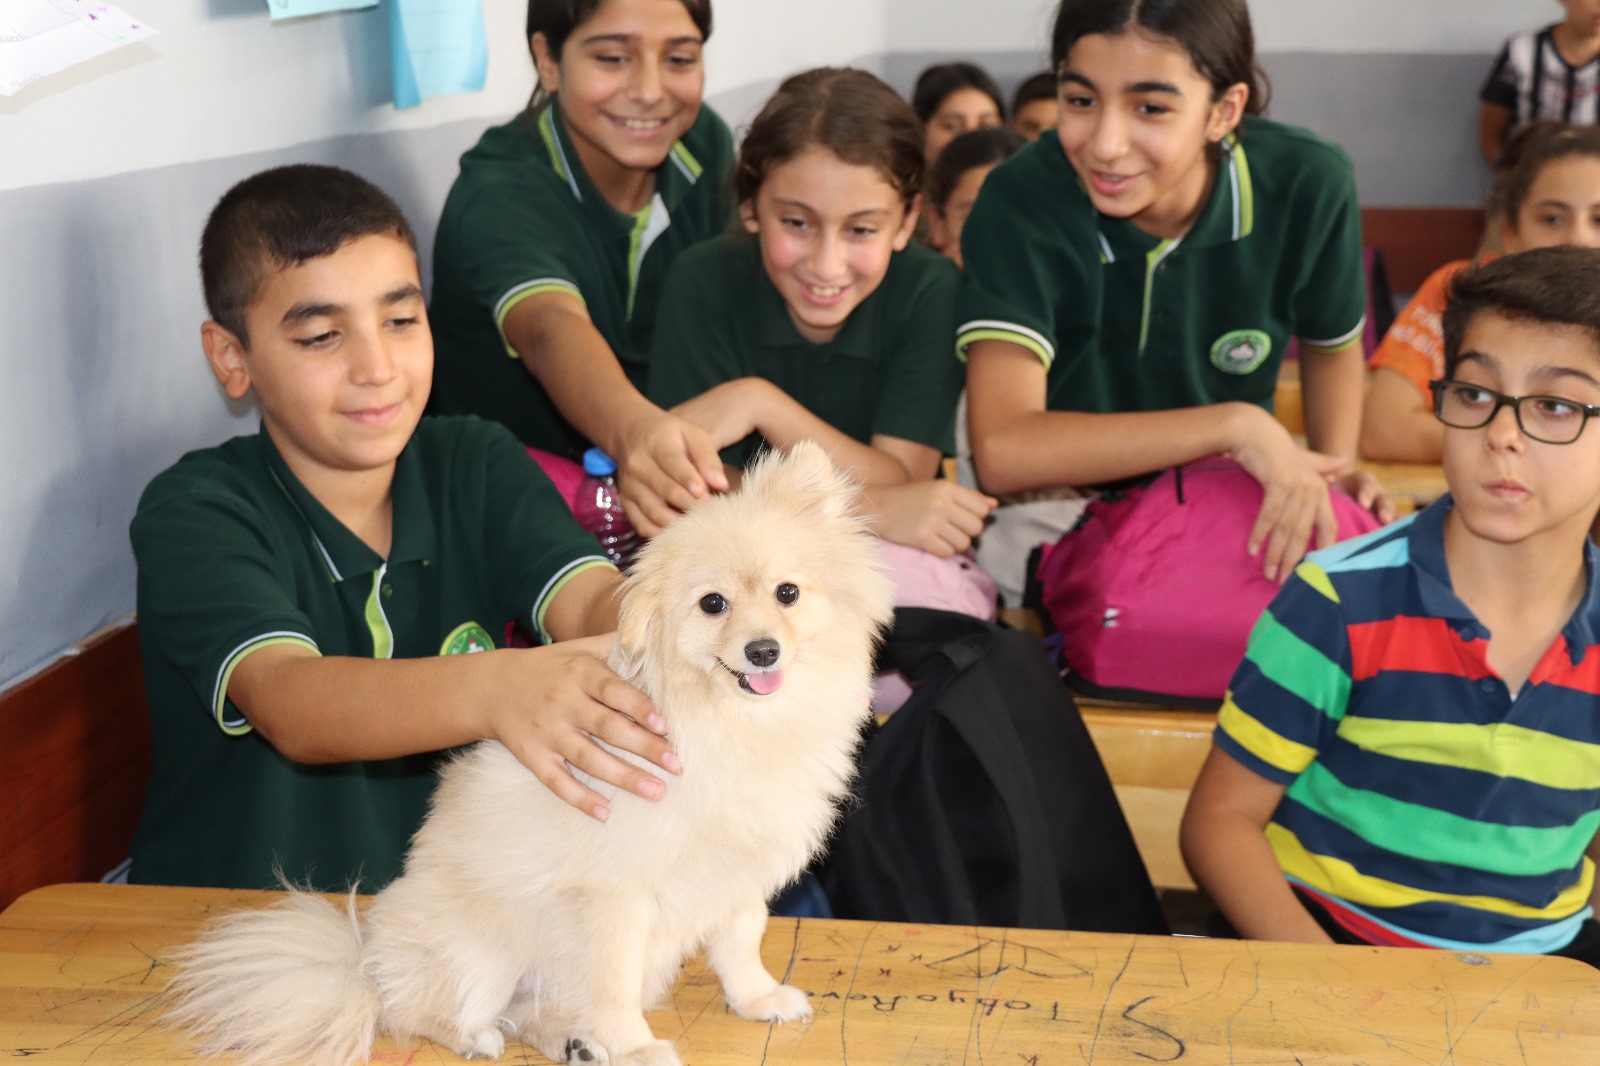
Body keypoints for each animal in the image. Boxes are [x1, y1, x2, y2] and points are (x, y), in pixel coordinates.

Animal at [168, 438, 908, 1062]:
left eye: (788, 593)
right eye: (712, 605)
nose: (763, 650)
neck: (734, 724)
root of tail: (365, 960)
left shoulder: (735, 874)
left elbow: (739, 940)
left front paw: (754, 999)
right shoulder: (612, 898)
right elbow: (611, 983)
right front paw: (635, 1048)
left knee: (530, 1012)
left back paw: (571, 1043)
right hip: (481, 954)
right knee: (413, 1011)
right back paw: (478, 1035)